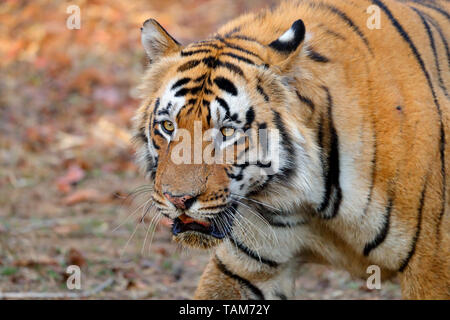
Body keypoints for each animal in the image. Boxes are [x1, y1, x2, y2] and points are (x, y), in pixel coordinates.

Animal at [132, 0, 448, 300]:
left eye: (227, 131)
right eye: (168, 126)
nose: (178, 199)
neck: (307, 197)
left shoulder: (431, 269)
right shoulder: (248, 266)